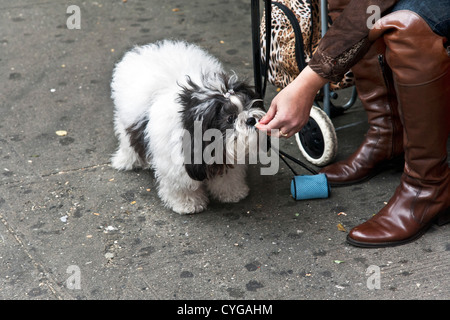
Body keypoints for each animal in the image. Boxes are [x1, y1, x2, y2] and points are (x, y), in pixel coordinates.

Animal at [111, 40, 266, 215]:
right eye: (230, 118)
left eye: (247, 105)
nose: (251, 119)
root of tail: (147, 50)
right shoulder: (176, 165)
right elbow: (182, 187)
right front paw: (187, 204)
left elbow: (228, 178)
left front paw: (233, 193)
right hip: (126, 123)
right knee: (128, 141)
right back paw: (127, 161)